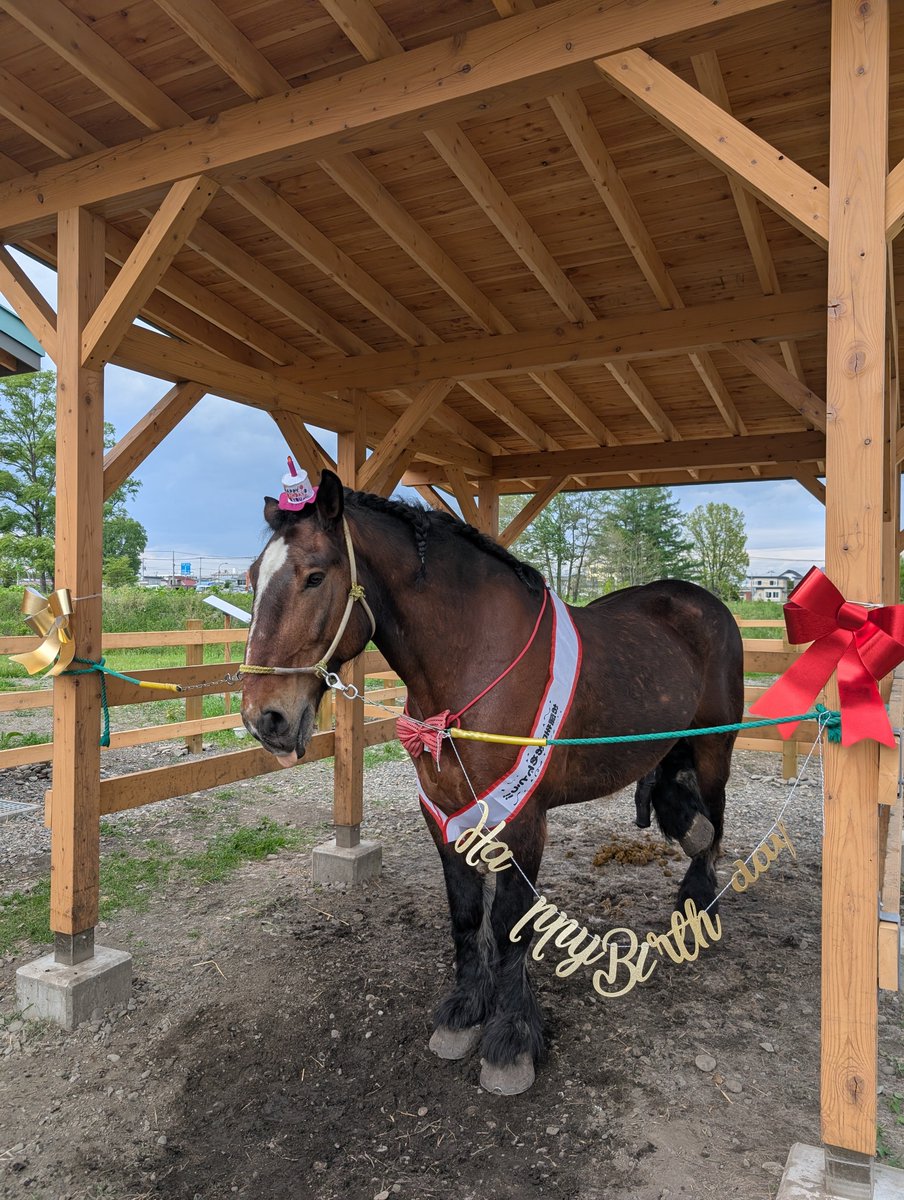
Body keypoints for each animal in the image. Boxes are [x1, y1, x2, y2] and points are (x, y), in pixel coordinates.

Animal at [241, 470, 744, 1095]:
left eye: (314, 575)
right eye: (251, 578)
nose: (265, 718)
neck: (472, 664)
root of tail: (703, 601)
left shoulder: (522, 818)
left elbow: (508, 924)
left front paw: (511, 1039)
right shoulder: (443, 810)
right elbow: (464, 914)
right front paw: (463, 1011)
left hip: (715, 743)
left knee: (716, 820)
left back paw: (700, 902)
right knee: (681, 795)